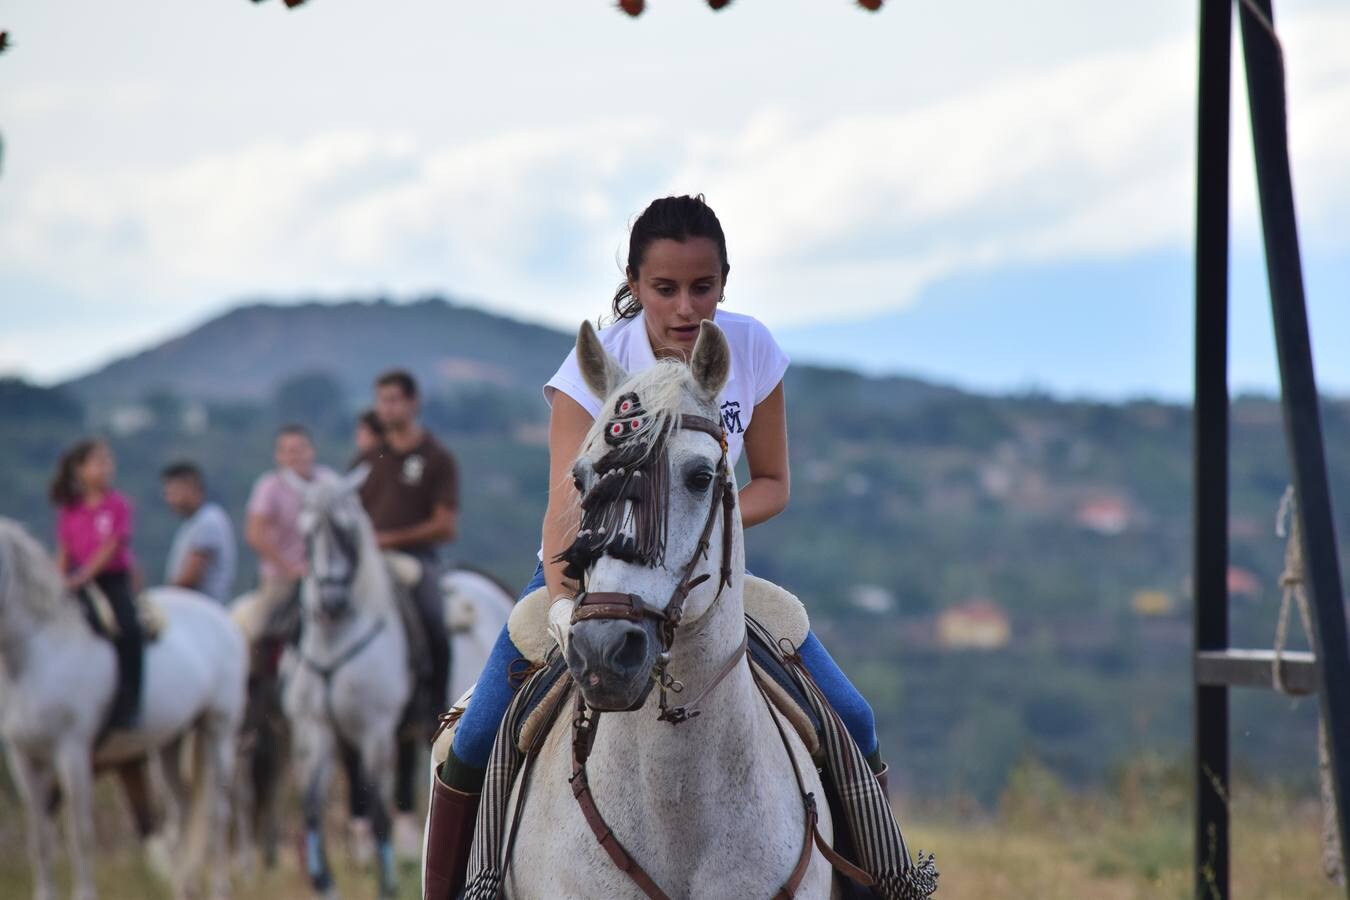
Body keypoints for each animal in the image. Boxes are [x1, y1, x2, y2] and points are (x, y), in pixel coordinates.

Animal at [0, 518, 245, 900]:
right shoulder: (22, 755)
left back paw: (219, 888)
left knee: (217, 812)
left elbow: (80, 832)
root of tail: (223, 616)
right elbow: (39, 837)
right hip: (171, 740)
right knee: (184, 808)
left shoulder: (73, 748)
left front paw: (85, 894)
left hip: (218, 727)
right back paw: (184, 886)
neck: (35, 654)